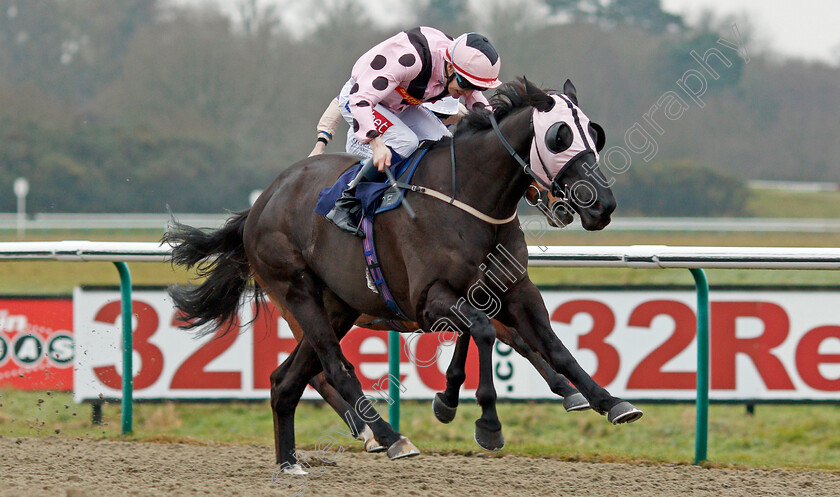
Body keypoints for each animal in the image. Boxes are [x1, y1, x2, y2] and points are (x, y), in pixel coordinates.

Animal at [166, 78, 644, 472]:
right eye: (559, 137)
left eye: (594, 134)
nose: (602, 205)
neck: (467, 198)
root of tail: (261, 204)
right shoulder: (430, 299)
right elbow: (487, 333)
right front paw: (484, 421)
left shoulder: (513, 289)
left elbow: (551, 344)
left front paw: (608, 400)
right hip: (296, 291)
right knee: (334, 367)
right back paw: (386, 436)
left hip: (338, 305)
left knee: (287, 380)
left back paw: (290, 463)